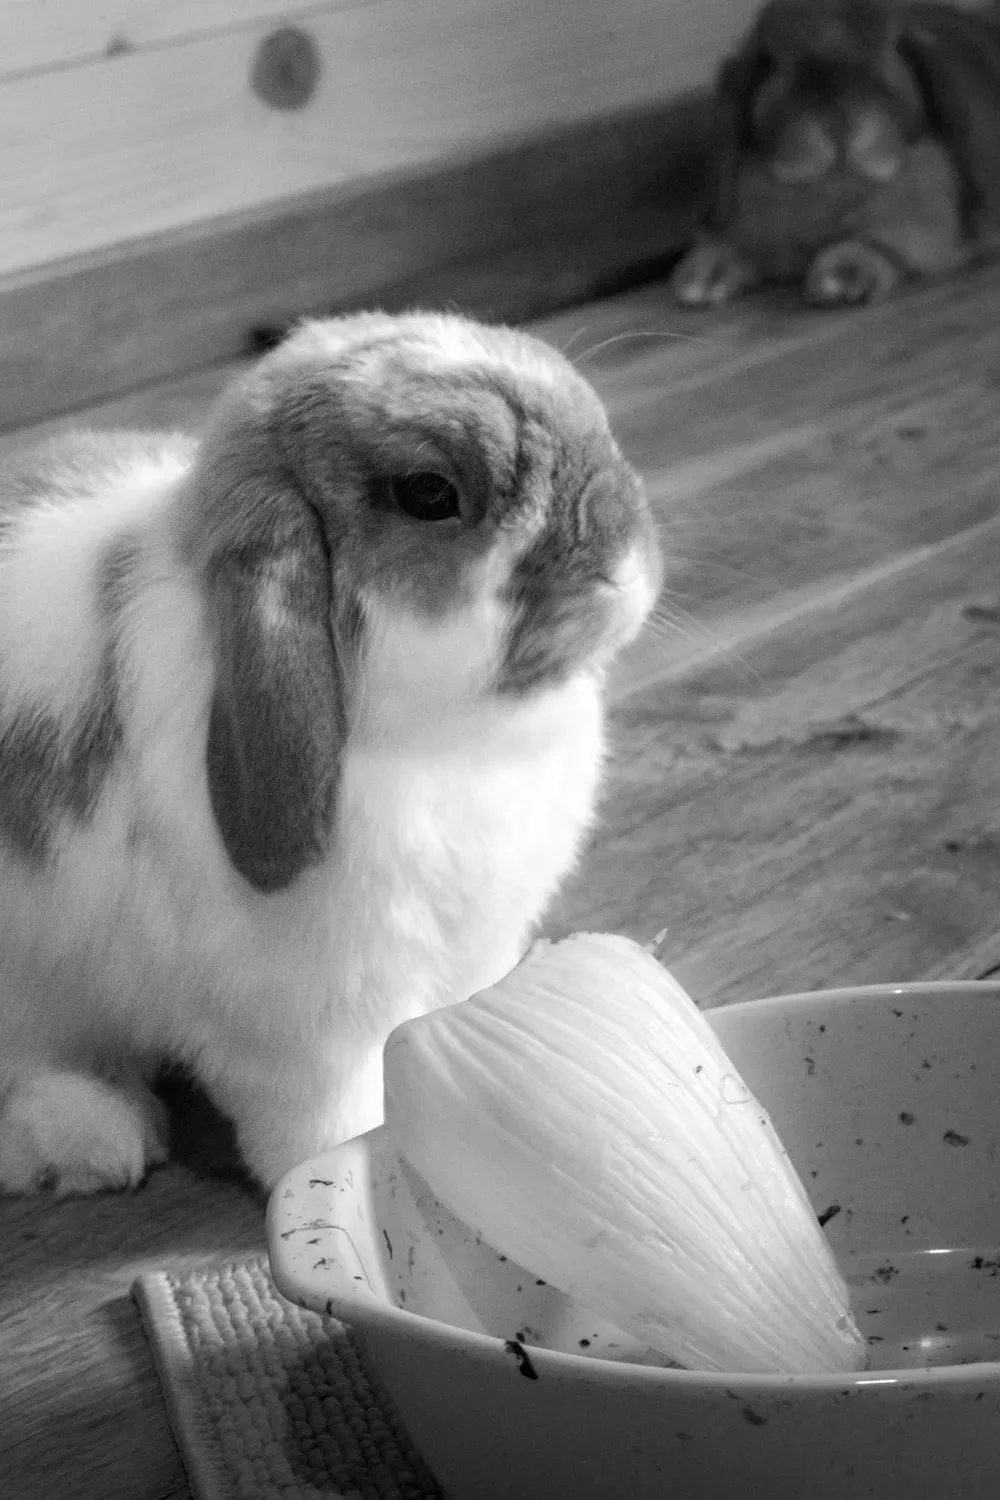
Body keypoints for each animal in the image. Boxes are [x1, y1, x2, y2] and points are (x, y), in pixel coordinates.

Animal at [0, 311, 663, 1196]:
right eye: (429, 494)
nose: (627, 560)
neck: (452, 743)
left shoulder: (472, 948)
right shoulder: (307, 1031)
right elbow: (327, 1118)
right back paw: (94, 1137)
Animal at [673, 0, 1000, 308]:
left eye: (890, 48)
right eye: (774, 63)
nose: (838, 119)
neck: (831, 191)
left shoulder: (924, 226)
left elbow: (887, 240)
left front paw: (843, 277)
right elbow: (736, 244)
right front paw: (701, 276)